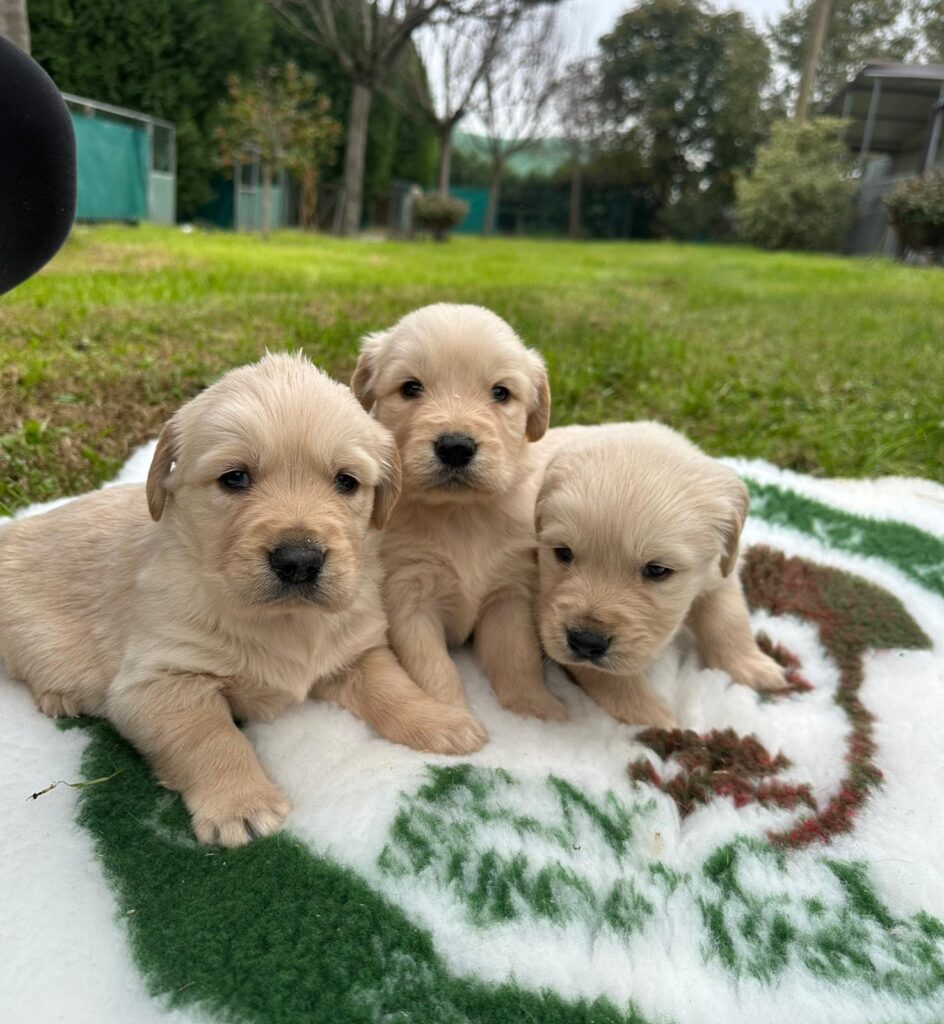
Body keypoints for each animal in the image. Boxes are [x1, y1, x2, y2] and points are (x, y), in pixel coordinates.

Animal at [0, 354, 485, 847]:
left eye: (346, 482)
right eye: (234, 478)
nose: (299, 560)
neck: (284, 620)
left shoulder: (357, 649)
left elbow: (394, 686)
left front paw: (442, 722)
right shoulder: (159, 679)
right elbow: (211, 736)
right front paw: (242, 804)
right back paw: (60, 696)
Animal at [350, 301, 561, 720]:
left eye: (501, 393)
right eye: (410, 388)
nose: (456, 447)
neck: (460, 514)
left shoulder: (509, 593)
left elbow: (517, 656)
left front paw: (536, 709)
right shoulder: (409, 596)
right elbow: (432, 667)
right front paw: (451, 715)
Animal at [532, 423, 782, 729]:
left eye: (657, 570)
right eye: (563, 553)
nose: (586, 642)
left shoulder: (720, 569)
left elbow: (729, 618)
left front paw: (752, 667)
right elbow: (609, 676)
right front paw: (654, 716)